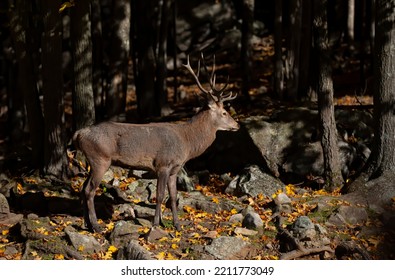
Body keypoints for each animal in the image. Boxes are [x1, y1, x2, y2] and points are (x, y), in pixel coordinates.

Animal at [73, 54, 241, 232]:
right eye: (224, 112)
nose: (237, 125)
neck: (187, 142)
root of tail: (78, 134)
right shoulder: (163, 164)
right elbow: (159, 195)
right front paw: (155, 224)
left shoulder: (175, 169)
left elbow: (173, 196)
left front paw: (176, 225)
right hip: (100, 158)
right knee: (90, 190)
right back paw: (96, 226)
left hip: (94, 161)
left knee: (83, 188)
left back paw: (85, 223)